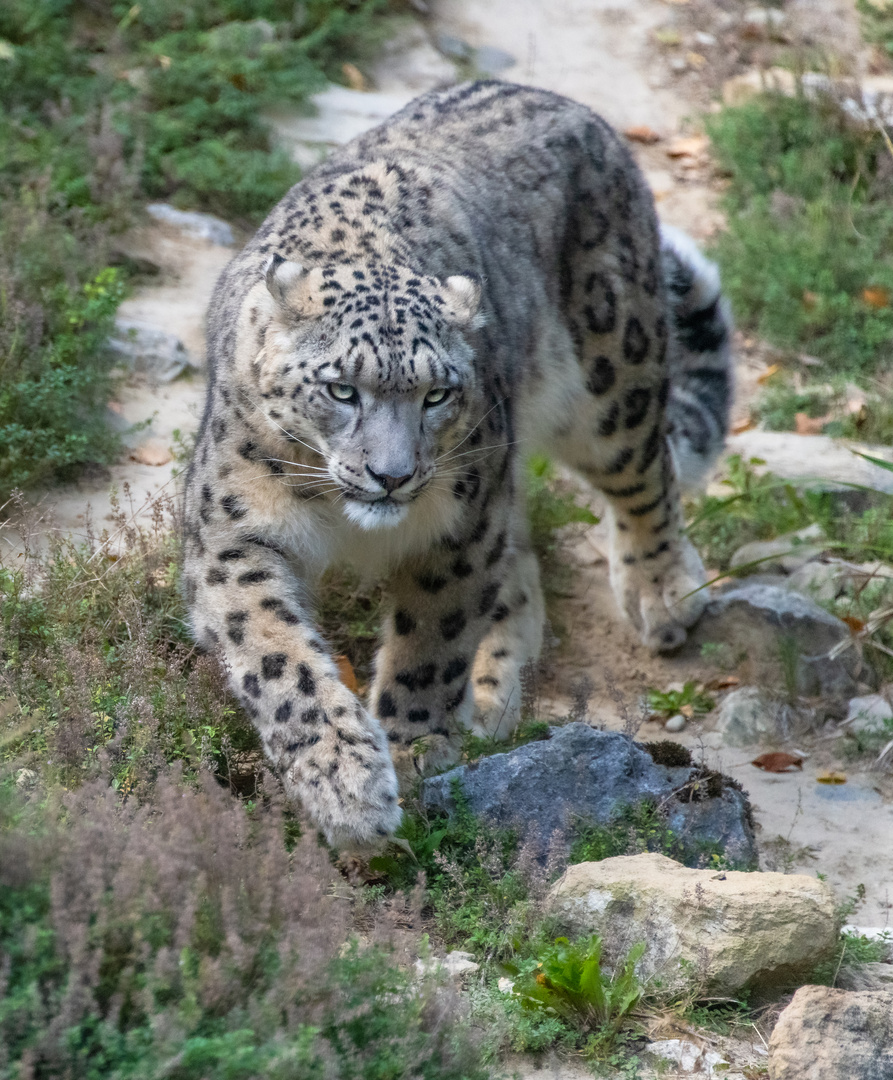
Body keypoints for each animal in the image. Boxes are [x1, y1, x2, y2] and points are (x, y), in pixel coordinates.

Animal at [181, 79, 734, 846]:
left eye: (436, 393)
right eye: (341, 388)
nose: (391, 474)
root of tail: (560, 99)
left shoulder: (461, 527)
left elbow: (431, 642)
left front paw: (410, 748)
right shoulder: (234, 534)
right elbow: (276, 655)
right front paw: (344, 784)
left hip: (607, 382)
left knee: (643, 475)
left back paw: (660, 594)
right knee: (524, 564)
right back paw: (493, 693)